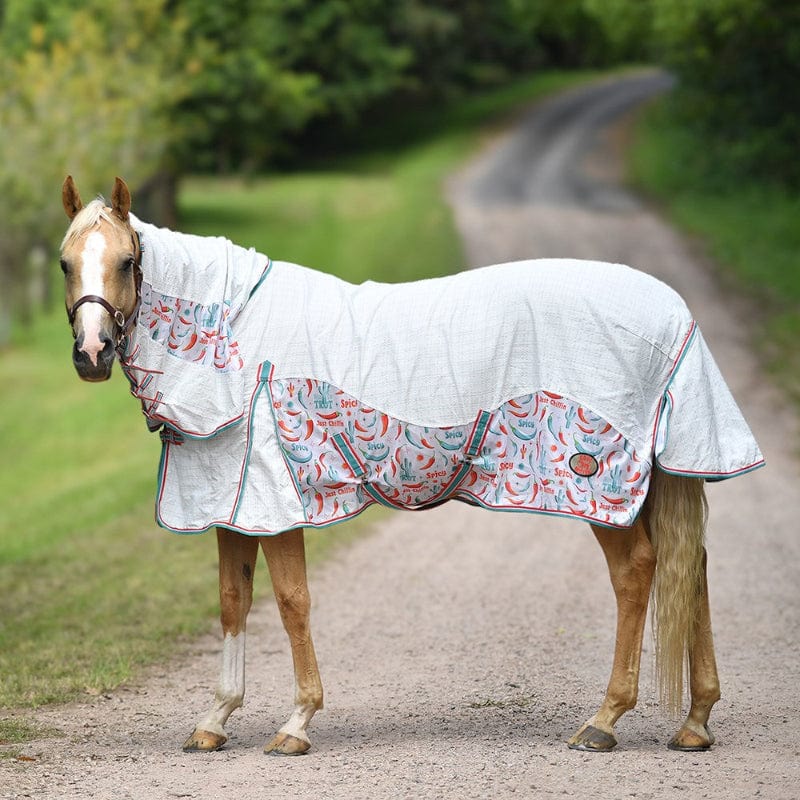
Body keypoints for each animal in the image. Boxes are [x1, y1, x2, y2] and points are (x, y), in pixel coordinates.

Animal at [59, 176, 763, 755]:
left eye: (127, 261)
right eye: (66, 263)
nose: (92, 353)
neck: (237, 340)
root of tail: (674, 314)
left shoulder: (276, 502)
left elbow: (290, 601)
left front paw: (297, 722)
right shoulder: (234, 506)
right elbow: (234, 602)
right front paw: (215, 720)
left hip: (598, 487)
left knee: (638, 572)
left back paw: (605, 720)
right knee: (690, 568)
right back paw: (695, 722)